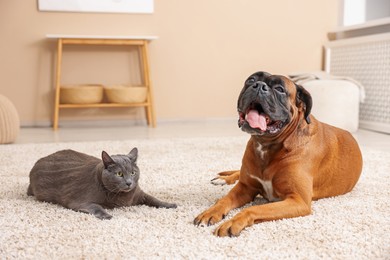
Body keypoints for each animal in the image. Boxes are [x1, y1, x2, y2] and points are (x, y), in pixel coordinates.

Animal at [28, 147, 177, 218]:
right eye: (119, 174)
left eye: (133, 173)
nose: (129, 183)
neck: (124, 197)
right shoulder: (78, 200)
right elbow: (96, 206)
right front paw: (106, 215)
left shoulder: (139, 194)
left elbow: (154, 199)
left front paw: (170, 205)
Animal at [194, 70, 362, 236]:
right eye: (251, 80)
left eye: (280, 89)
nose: (259, 85)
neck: (267, 145)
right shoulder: (245, 187)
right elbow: (224, 200)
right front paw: (210, 212)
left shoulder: (297, 200)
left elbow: (254, 208)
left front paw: (233, 222)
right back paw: (223, 179)